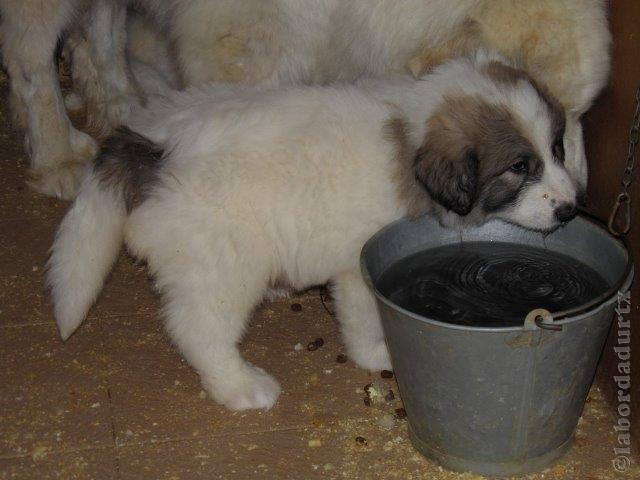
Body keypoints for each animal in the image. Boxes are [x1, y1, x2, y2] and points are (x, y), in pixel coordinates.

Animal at [1, 0, 608, 199]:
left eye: (577, 121)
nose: (580, 193)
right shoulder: (242, 32)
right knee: (31, 53)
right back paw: (57, 155)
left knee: (100, 31)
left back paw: (123, 105)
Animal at [48, 54, 580, 410]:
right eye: (518, 167)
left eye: (557, 148)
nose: (571, 210)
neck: (409, 135)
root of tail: (152, 145)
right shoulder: (357, 266)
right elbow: (364, 320)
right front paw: (375, 354)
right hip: (223, 263)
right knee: (198, 328)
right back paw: (240, 386)